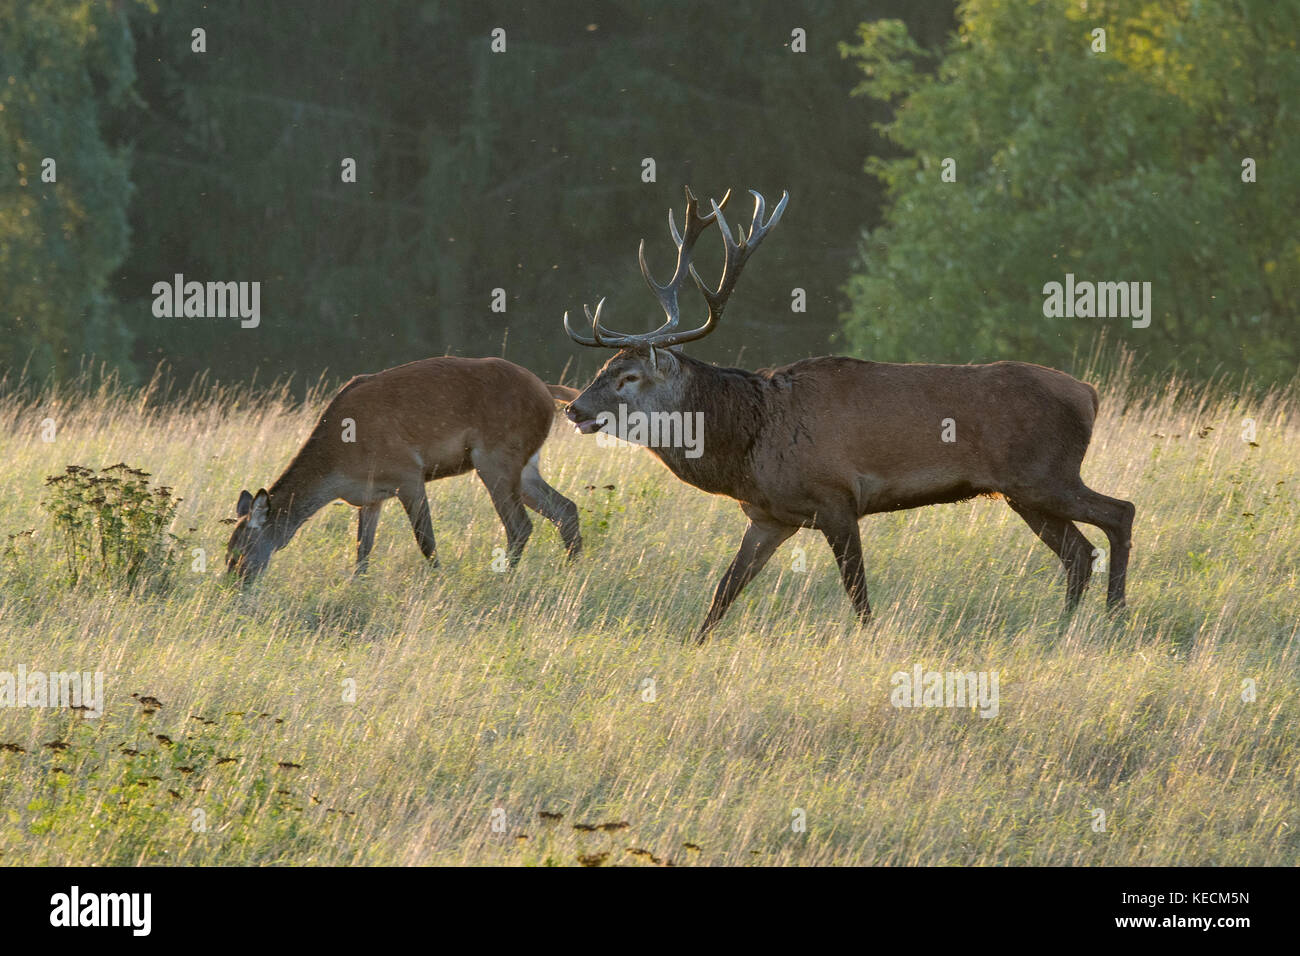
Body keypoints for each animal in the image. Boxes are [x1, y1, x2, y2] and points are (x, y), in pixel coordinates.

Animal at [225, 357, 582, 582]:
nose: (233, 582)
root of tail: (547, 391)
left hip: (496, 457)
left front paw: (438, 580)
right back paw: (573, 569)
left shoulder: (407, 474)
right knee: (566, 508)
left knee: (520, 526)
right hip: (526, 465)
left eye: (241, 550)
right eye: (228, 549)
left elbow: (426, 541)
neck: (339, 466)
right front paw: (357, 586)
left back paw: (505, 577)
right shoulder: (371, 496)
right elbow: (362, 550)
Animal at [561, 186, 1134, 642]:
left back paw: (1116, 617)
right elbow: (724, 591)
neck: (748, 444)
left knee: (1119, 513)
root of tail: (1089, 393)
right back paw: (1066, 626)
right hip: (1023, 492)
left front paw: (871, 643)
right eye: (604, 366)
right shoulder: (769, 516)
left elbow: (858, 593)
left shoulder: (836, 497)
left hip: (1044, 474)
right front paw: (694, 646)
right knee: (1078, 553)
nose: (573, 407)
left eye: (628, 376)